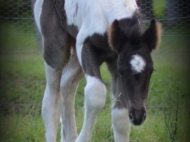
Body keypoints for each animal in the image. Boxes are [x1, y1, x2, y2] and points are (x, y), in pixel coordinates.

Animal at [34, 0, 162, 142]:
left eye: (151, 70)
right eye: (122, 71)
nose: (138, 116)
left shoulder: (114, 59)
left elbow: (119, 115)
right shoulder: (85, 46)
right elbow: (96, 94)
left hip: (76, 58)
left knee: (66, 84)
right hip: (55, 49)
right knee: (52, 98)